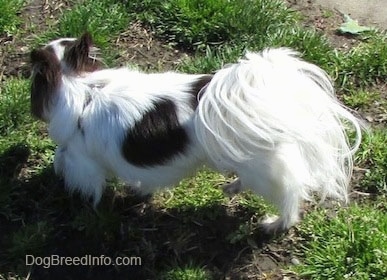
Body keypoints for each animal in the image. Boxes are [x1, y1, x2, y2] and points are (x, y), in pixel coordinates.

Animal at [29, 32, 364, 233]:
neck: (83, 87)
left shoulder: (82, 159)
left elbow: (69, 165)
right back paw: (233, 188)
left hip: (265, 171)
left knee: (291, 196)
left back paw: (275, 223)